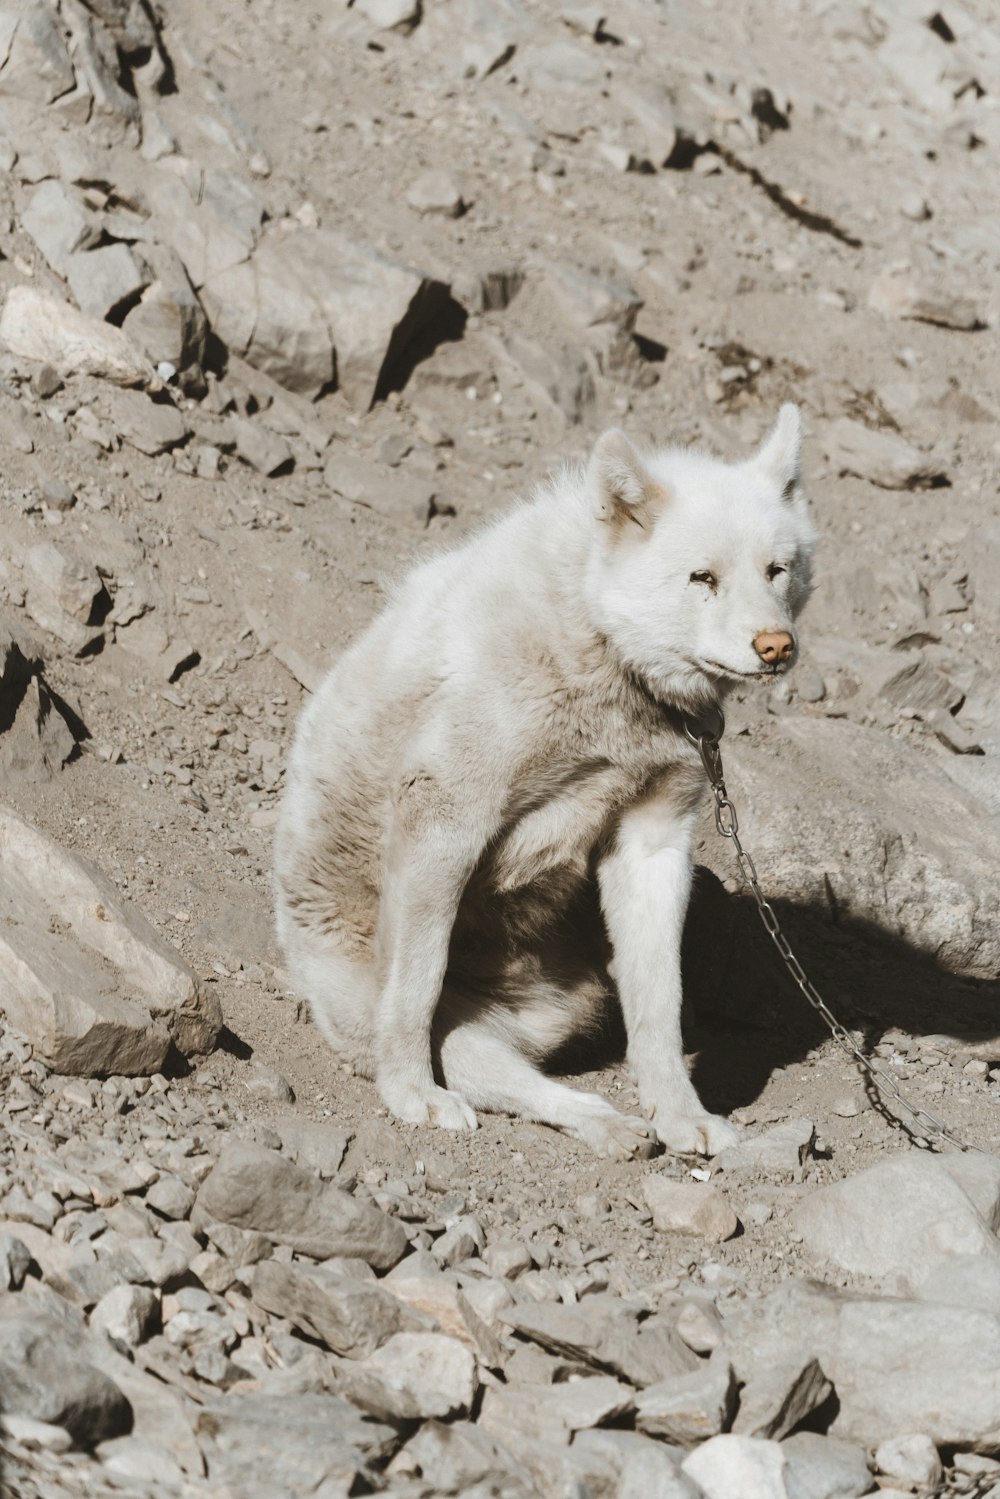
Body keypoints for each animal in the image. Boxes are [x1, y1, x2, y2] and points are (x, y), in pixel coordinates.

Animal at [274, 407, 815, 1157]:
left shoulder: (654, 843)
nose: (775, 646)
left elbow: (660, 1006)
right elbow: (413, 988)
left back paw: (621, 1124)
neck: (599, 646)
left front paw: (683, 1117)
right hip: (419, 1018)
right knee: (491, 1068)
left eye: (777, 570)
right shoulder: (444, 816)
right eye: (701, 577)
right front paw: (411, 1096)